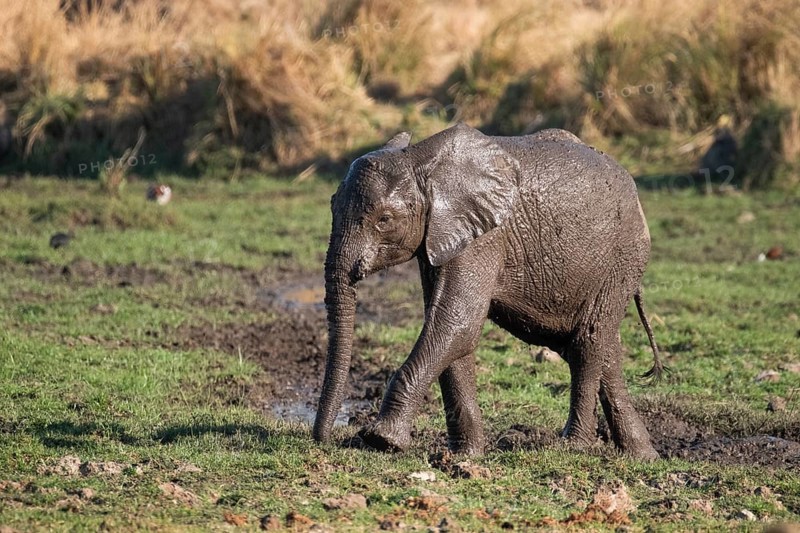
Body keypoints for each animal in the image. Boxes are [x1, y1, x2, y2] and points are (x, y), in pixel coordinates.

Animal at [313, 123, 664, 460]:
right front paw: (464, 455)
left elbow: (456, 324)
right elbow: (452, 333)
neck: (422, 162)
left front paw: (381, 440)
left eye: (384, 219)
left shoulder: (484, 238)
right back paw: (642, 456)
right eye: (330, 205)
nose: (321, 440)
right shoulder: (443, 237)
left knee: (587, 343)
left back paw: (574, 446)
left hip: (622, 258)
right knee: (606, 349)